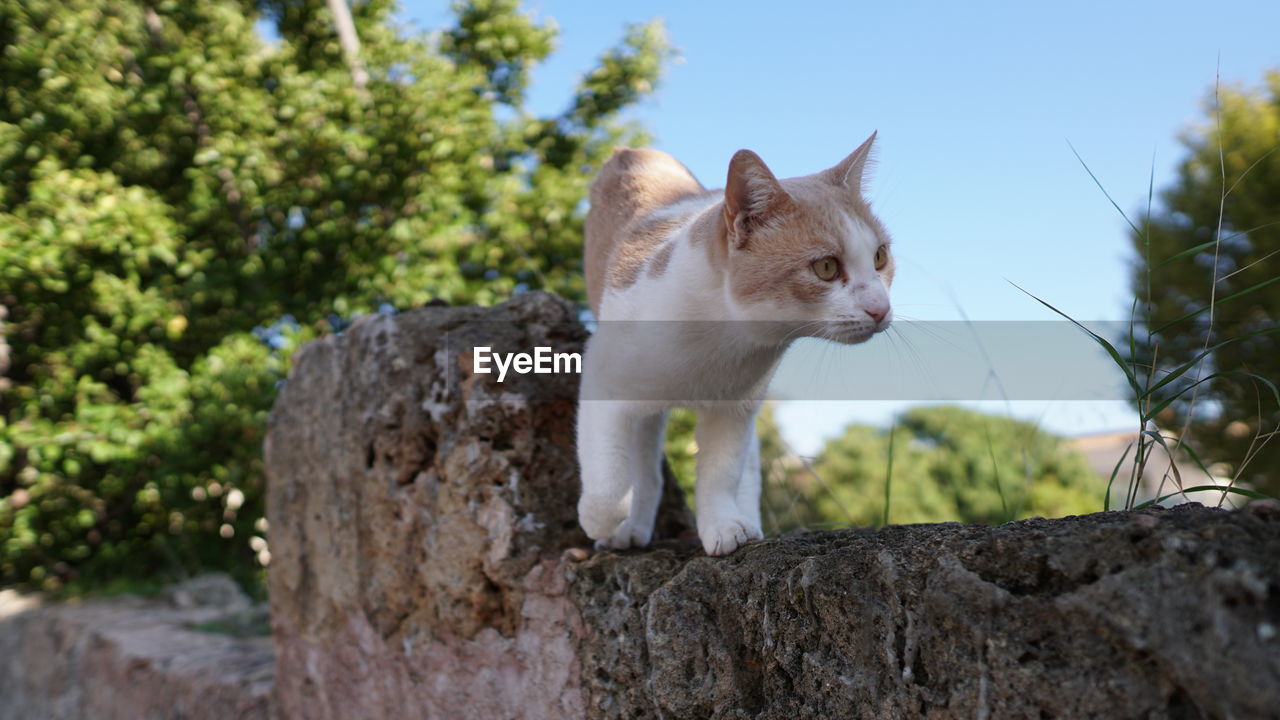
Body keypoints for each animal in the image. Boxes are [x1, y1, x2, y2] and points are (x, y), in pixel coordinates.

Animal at [576, 133, 896, 556]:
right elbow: (609, 484)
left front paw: (724, 525)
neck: (723, 338)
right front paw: (598, 521)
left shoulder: (735, 407)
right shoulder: (602, 380)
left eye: (879, 257)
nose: (880, 308)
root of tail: (631, 151)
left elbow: (722, 471)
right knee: (642, 457)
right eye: (826, 267)